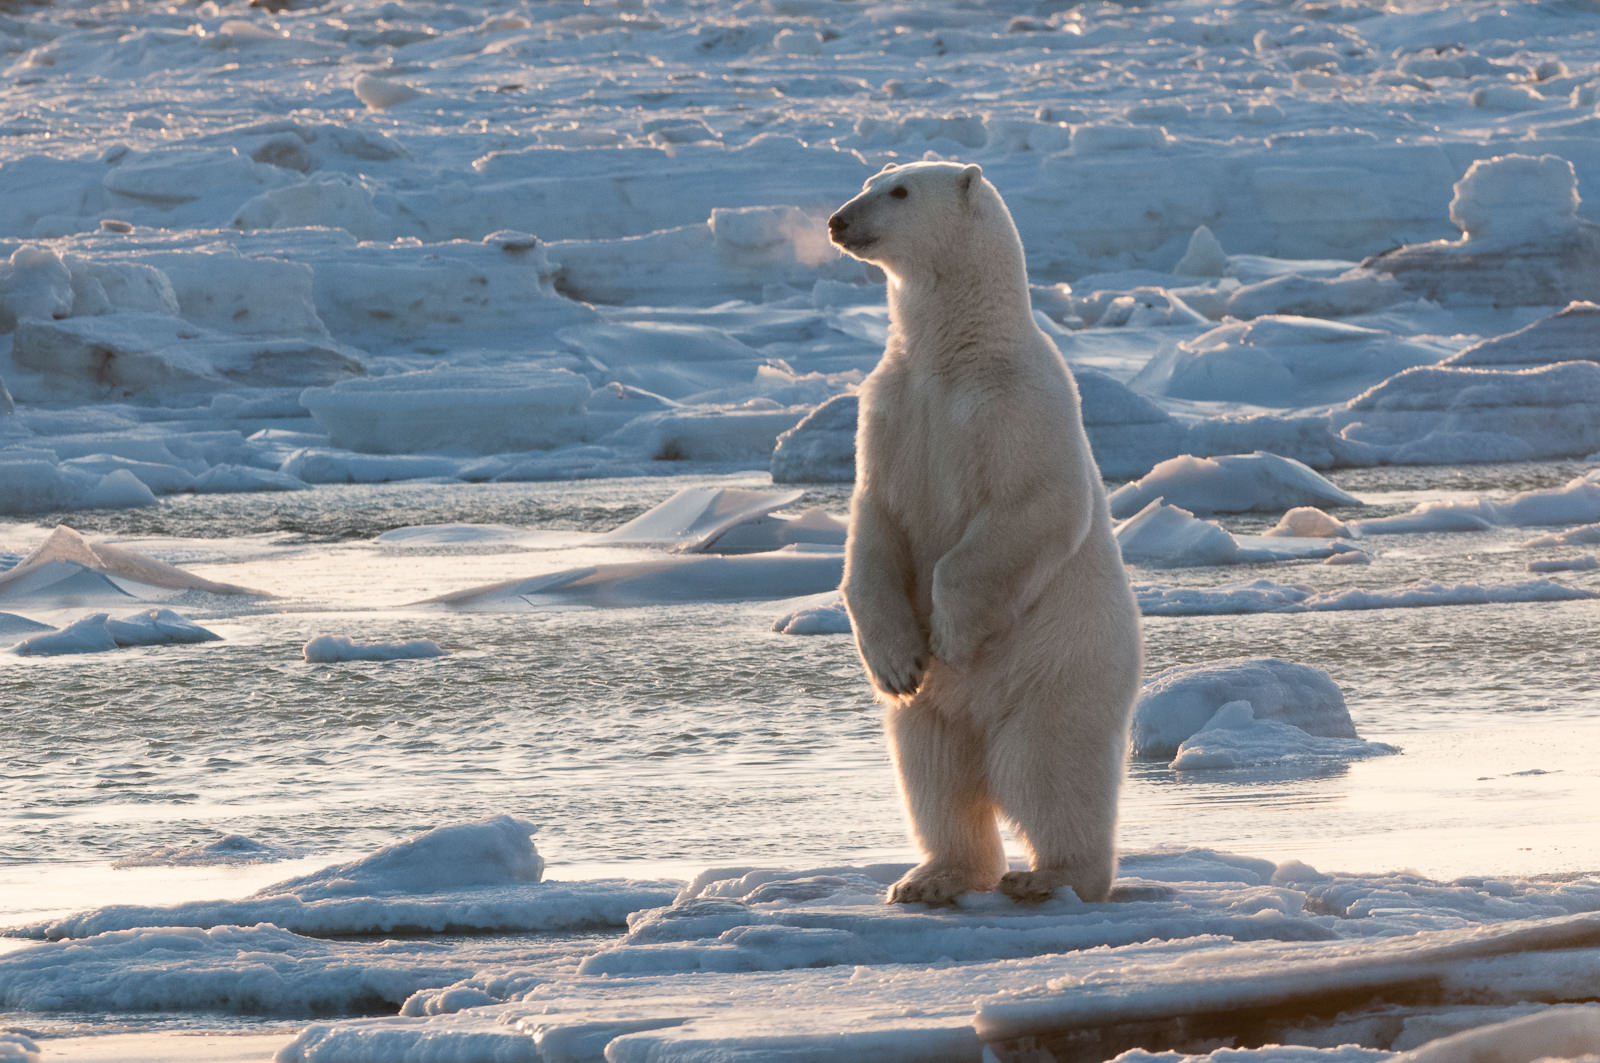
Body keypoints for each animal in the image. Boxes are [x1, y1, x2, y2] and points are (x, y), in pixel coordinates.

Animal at [827, 161, 1144, 906]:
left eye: (900, 191)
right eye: (871, 177)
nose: (837, 220)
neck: (955, 355)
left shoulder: (1020, 405)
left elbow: (1034, 505)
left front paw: (948, 635)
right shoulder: (888, 409)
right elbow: (872, 524)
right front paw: (899, 662)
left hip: (1058, 669)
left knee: (1048, 769)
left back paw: (1052, 875)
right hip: (937, 716)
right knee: (934, 771)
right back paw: (930, 877)